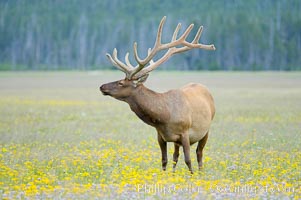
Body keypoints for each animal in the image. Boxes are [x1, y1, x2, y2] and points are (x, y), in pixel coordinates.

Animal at [99, 16, 214, 173]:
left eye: (121, 83)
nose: (102, 86)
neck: (164, 118)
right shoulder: (160, 136)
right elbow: (164, 160)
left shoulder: (185, 133)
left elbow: (188, 160)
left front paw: (192, 175)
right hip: (178, 141)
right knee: (175, 156)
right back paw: (174, 173)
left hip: (206, 130)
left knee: (199, 153)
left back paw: (201, 173)